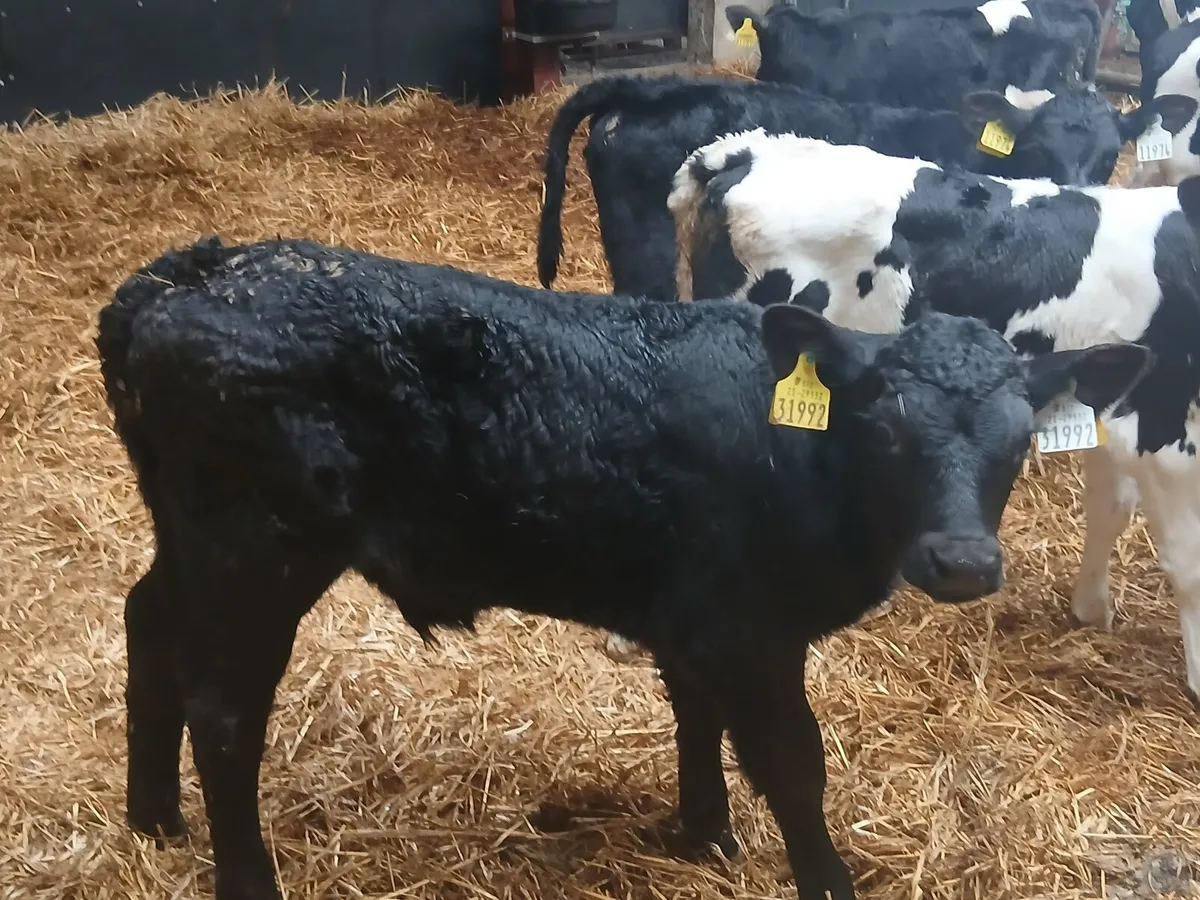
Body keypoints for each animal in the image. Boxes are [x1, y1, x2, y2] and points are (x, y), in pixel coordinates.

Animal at [97, 235, 1149, 900]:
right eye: (886, 429)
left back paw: (153, 818)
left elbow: (696, 715)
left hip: (192, 542)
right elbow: (791, 763)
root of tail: (190, 273)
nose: (962, 561)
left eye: (1018, 441)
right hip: (255, 551)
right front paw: (820, 879)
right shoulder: (750, 627)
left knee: (147, 623)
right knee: (224, 709)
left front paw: (705, 832)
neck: (796, 454)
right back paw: (244, 876)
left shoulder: (692, 612)